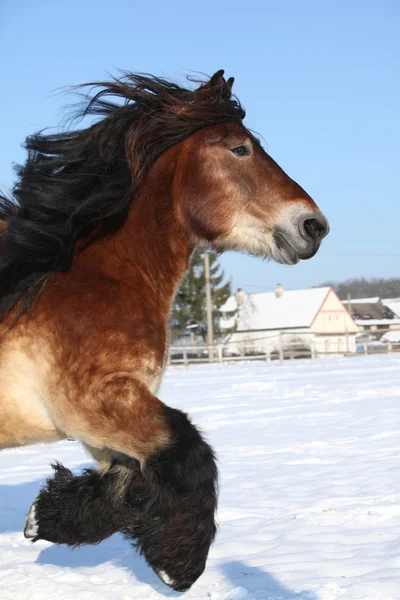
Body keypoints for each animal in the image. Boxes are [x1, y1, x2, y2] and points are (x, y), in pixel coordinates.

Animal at [0, 70, 328, 592]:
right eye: (240, 148)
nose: (314, 226)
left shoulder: (103, 421)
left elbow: (124, 483)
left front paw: (42, 516)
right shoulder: (95, 399)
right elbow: (188, 450)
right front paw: (179, 566)